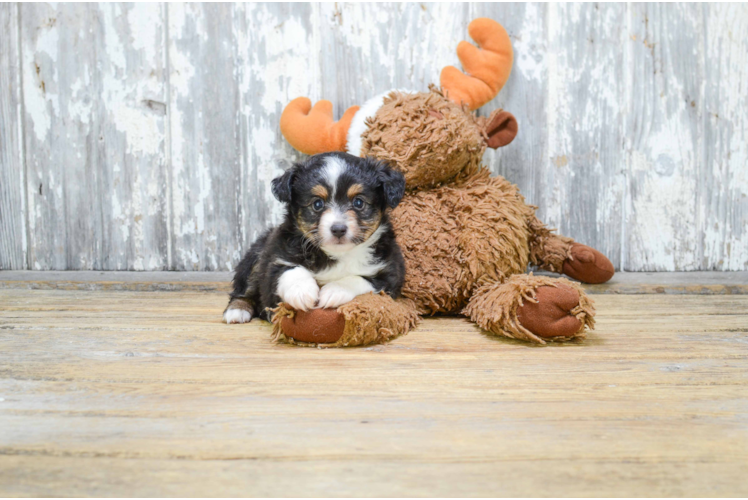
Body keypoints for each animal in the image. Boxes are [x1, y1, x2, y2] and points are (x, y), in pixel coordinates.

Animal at [225, 152, 406, 324]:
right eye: (317, 204)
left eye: (358, 202)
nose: (338, 229)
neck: (338, 254)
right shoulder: (275, 260)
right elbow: (291, 271)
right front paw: (301, 291)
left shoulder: (390, 274)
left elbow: (360, 279)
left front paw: (335, 290)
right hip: (255, 259)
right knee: (243, 291)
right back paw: (237, 311)